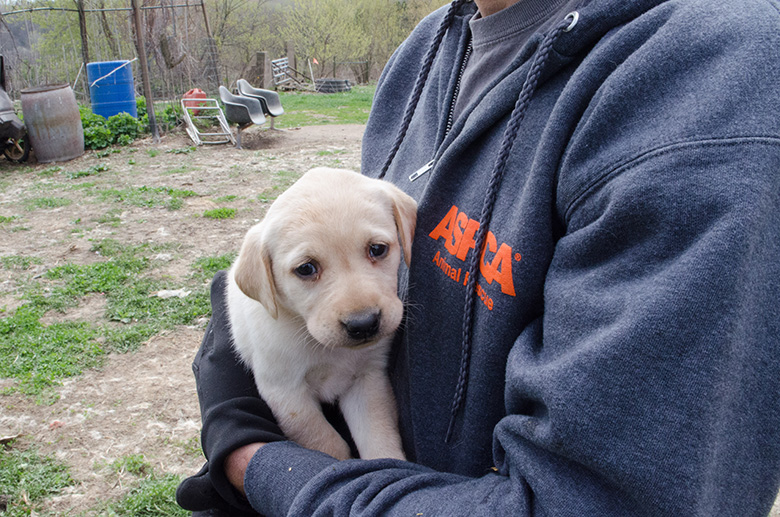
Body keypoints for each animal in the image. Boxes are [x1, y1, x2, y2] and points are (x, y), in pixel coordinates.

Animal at [227, 166, 414, 460]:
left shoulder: (367, 379)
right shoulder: (286, 392)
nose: (363, 324)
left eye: (377, 249)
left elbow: (378, 437)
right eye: (306, 268)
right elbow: (325, 442)